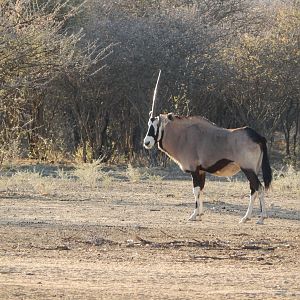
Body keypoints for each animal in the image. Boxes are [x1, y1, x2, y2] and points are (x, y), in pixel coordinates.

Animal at [143, 71, 272, 224]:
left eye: (156, 126)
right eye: (149, 125)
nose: (146, 142)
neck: (183, 135)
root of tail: (257, 136)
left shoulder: (194, 169)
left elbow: (196, 190)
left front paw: (194, 215)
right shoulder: (201, 171)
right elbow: (201, 190)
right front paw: (200, 213)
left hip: (248, 169)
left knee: (259, 187)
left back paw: (259, 218)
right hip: (253, 169)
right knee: (254, 189)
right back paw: (248, 217)